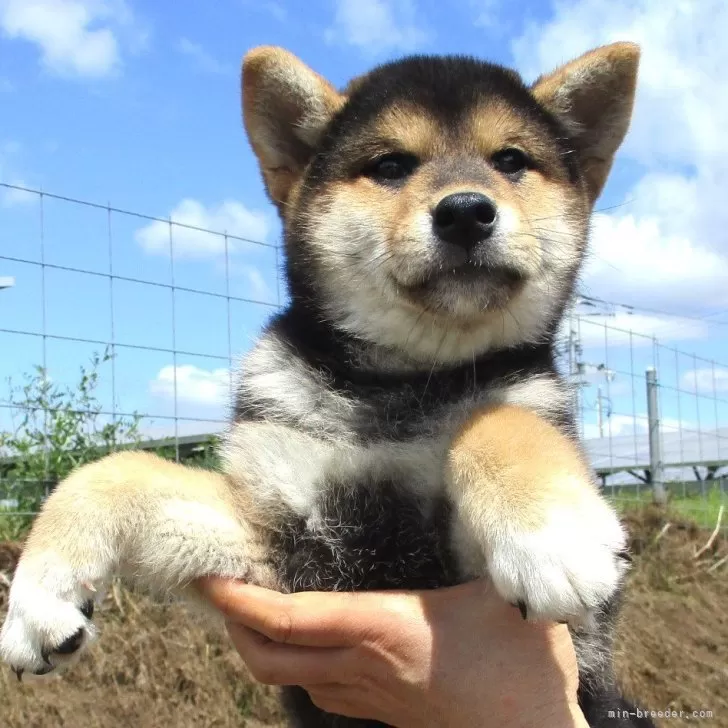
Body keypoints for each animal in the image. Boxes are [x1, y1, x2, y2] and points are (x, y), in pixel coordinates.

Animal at [0, 41, 652, 728]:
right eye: (391, 165)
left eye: (511, 161)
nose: (466, 211)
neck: (398, 384)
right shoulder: (277, 543)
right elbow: (111, 472)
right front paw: (39, 598)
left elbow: (499, 418)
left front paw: (554, 534)